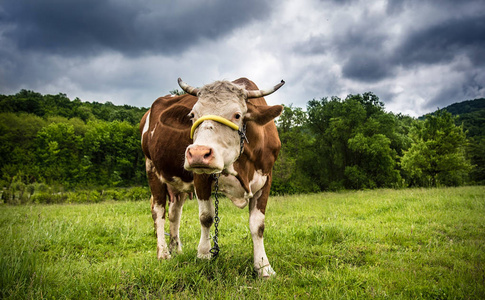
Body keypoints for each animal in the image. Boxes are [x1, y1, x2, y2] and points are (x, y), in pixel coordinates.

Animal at [139, 77, 284, 276]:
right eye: (192, 115)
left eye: (237, 115)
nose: (198, 153)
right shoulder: (200, 176)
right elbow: (206, 217)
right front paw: (204, 255)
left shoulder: (266, 178)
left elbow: (258, 225)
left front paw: (264, 267)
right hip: (152, 168)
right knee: (158, 211)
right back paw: (163, 253)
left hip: (177, 182)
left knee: (174, 213)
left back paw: (176, 249)